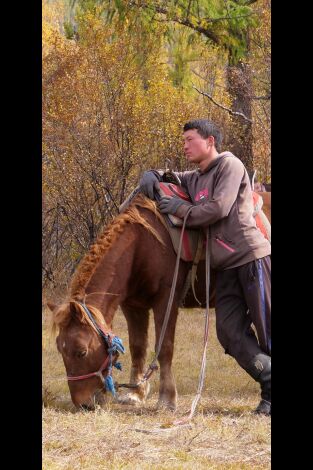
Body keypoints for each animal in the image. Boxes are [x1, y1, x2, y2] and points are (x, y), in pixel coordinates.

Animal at [47, 193, 270, 410]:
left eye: (81, 351)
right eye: (60, 349)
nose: (83, 404)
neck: (141, 246)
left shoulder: (166, 301)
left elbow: (164, 349)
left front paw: (167, 398)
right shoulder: (133, 305)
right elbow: (138, 347)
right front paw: (136, 393)